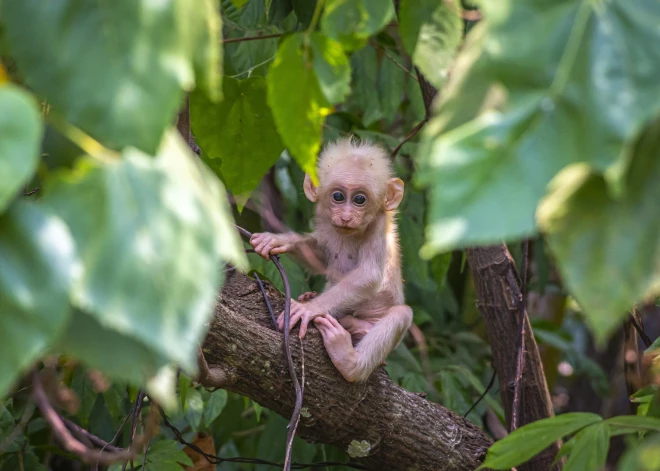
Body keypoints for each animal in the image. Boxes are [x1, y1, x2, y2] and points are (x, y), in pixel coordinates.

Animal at [250, 137, 410, 384]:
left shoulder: (379, 225)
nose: (346, 217)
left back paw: (349, 361)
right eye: (338, 197)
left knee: (402, 314)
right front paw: (278, 240)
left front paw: (308, 309)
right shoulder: (325, 218)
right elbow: (321, 256)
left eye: (360, 199)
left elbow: (370, 274)